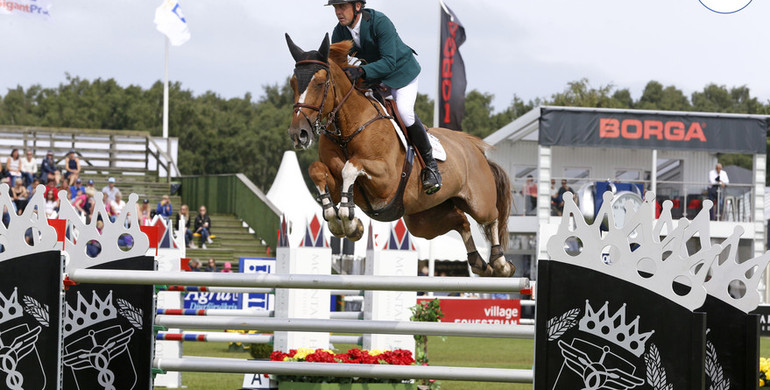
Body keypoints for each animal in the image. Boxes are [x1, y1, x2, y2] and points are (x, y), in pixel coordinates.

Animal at [284, 34, 512, 278]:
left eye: (319, 83)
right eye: (293, 83)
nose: (298, 134)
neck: (348, 129)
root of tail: (475, 148)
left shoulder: (386, 180)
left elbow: (350, 167)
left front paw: (348, 219)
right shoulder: (336, 179)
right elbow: (317, 171)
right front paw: (341, 221)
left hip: (478, 202)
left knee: (491, 217)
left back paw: (501, 263)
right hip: (423, 220)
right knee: (461, 221)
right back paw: (478, 262)